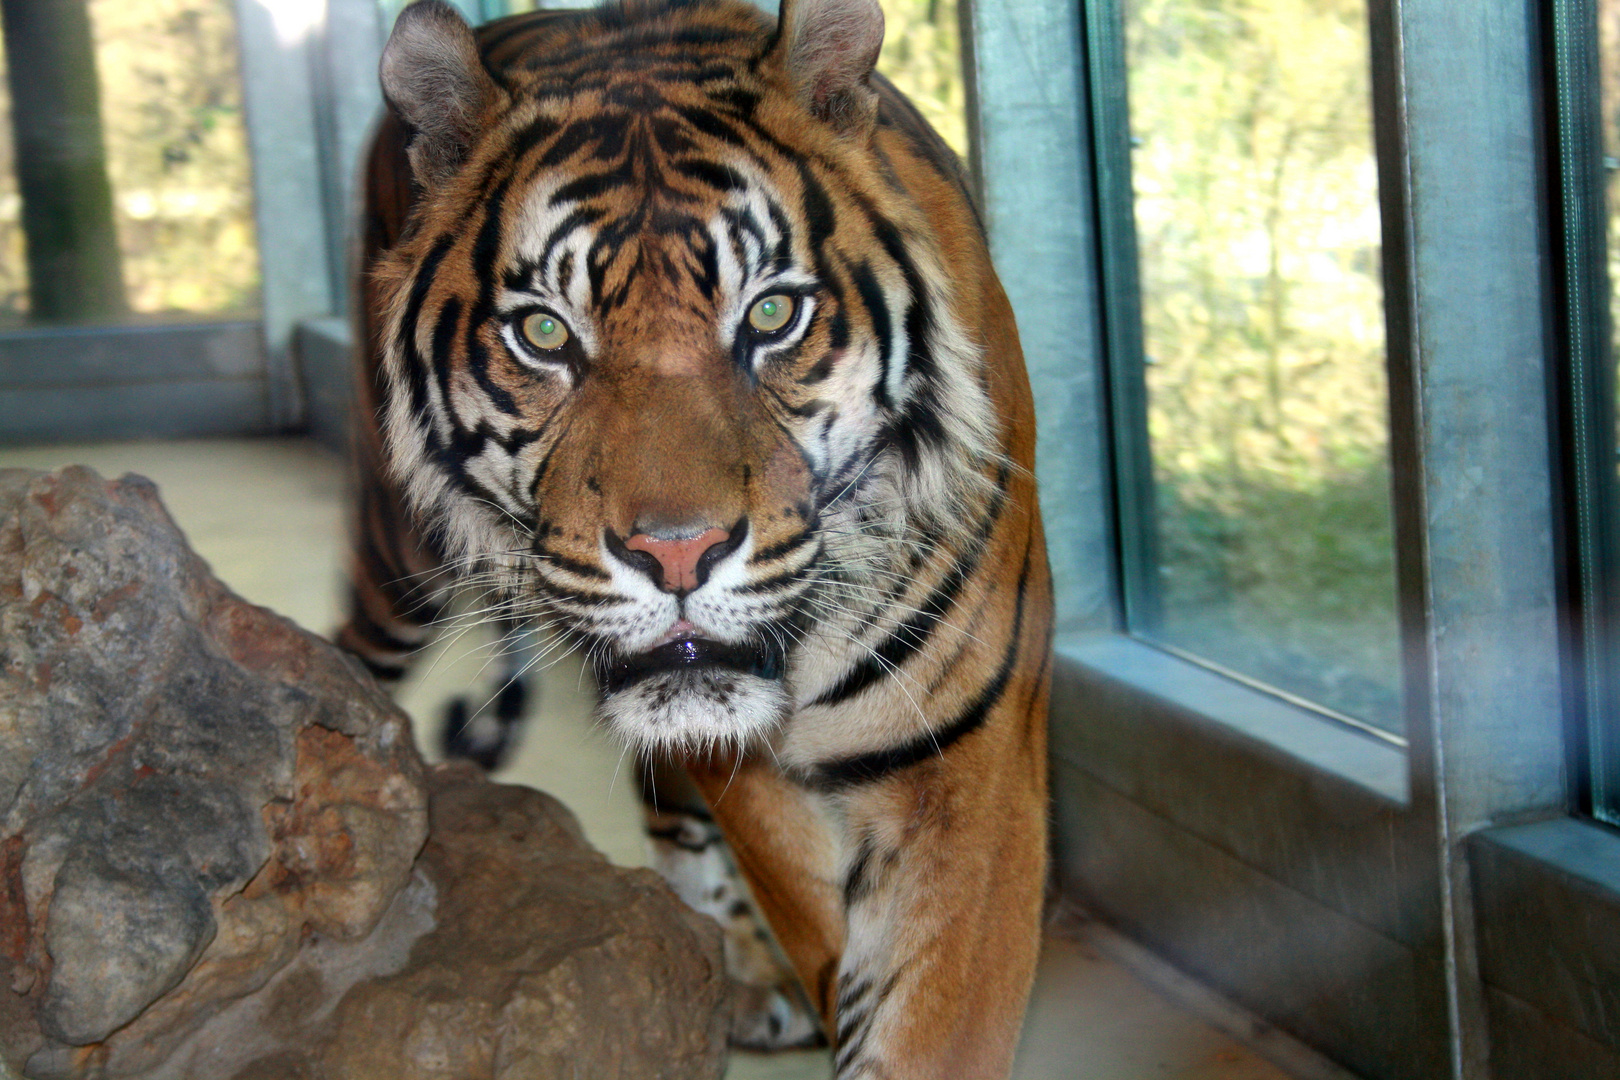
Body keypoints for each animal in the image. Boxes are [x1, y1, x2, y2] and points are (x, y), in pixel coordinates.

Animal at [333, 0, 1056, 1075]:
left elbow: (927, 1018)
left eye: (772, 313)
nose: (677, 554)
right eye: (543, 334)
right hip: (396, 553)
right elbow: (810, 910)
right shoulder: (744, 766)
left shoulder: (971, 759)